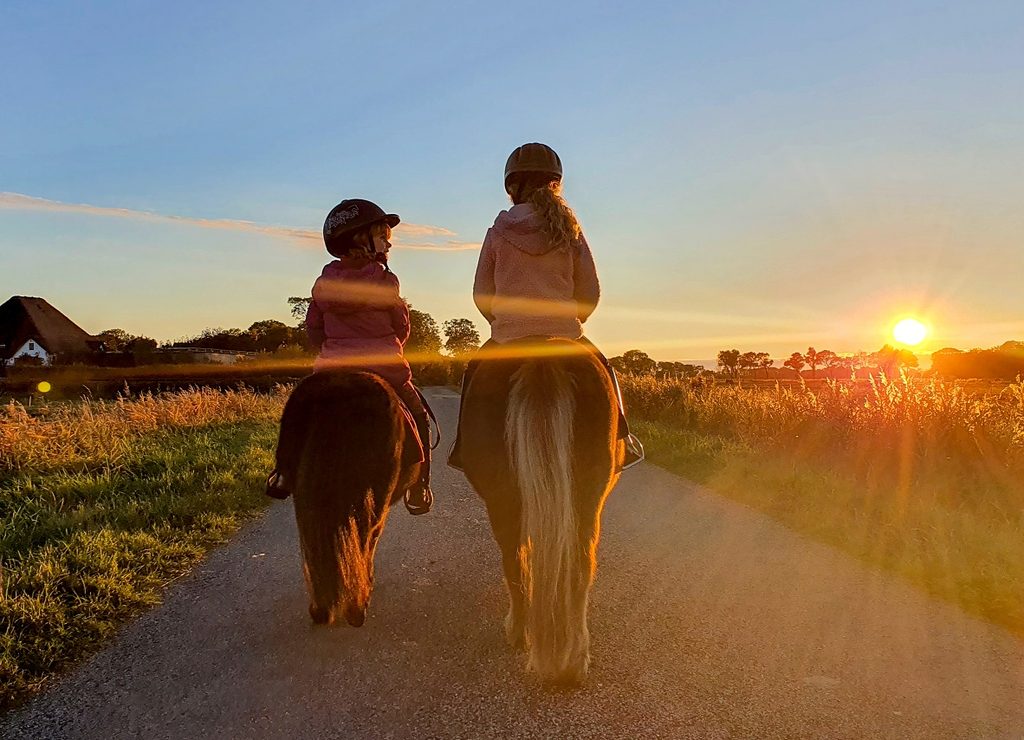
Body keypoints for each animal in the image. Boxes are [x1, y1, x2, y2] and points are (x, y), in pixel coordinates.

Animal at [458, 337, 618, 687]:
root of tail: (541, 352)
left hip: (503, 501)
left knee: (514, 560)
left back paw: (519, 633)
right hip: (587, 498)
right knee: (579, 565)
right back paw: (575, 659)